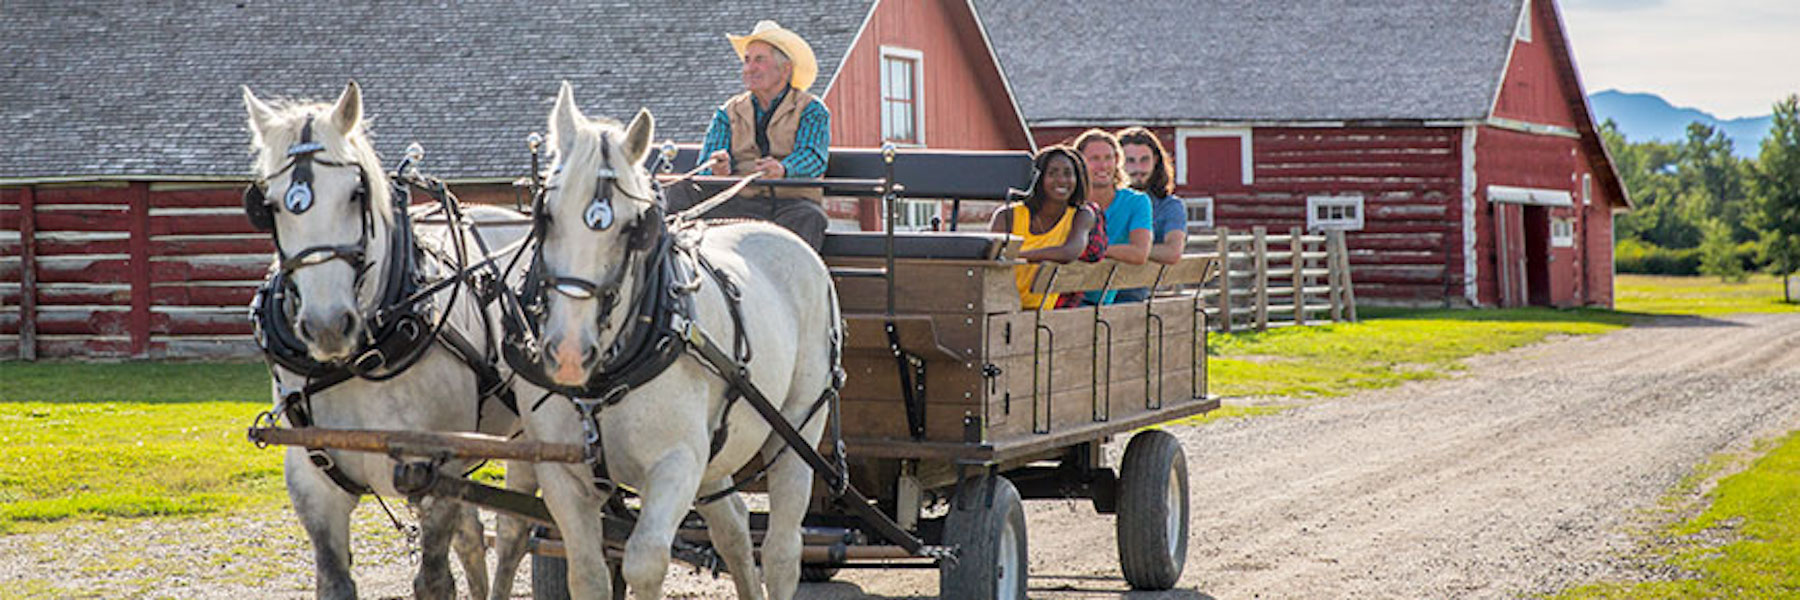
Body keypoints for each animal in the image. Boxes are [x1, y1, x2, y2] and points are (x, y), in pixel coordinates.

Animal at [246, 80, 540, 598]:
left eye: (355, 193)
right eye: (271, 205)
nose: (327, 325)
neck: (360, 358)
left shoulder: (435, 470)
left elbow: (434, 580)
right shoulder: (312, 483)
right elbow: (335, 583)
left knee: (512, 535)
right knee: (474, 539)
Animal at [514, 80, 835, 598]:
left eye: (635, 228)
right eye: (546, 215)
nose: (568, 353)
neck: (607, 376)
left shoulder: (677, 463)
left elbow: (644, 562)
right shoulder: (561, 473)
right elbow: (586, 572)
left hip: (798, 428)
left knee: (783, 551)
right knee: (734, 529)